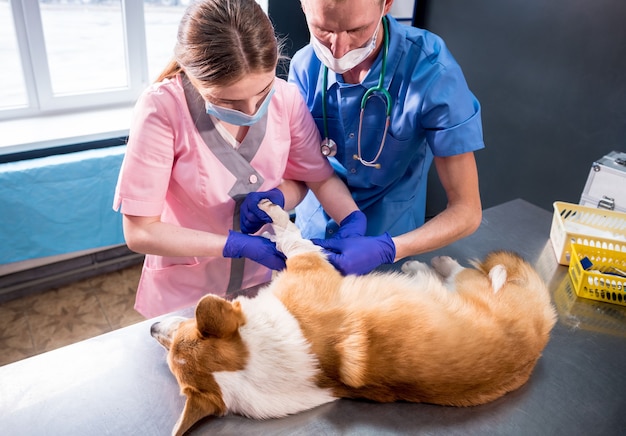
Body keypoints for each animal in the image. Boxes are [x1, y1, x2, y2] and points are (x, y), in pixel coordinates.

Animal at [151, 199, 556, 434]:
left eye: (181, 329)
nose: (153, 326)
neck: (259, 354)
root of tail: (542, 330)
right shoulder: (306, 261)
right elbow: (291, 235)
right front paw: (272, 215)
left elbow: (287, 233)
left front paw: (268, 211)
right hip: (468, 286)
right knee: (460, 273)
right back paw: (425, 266)